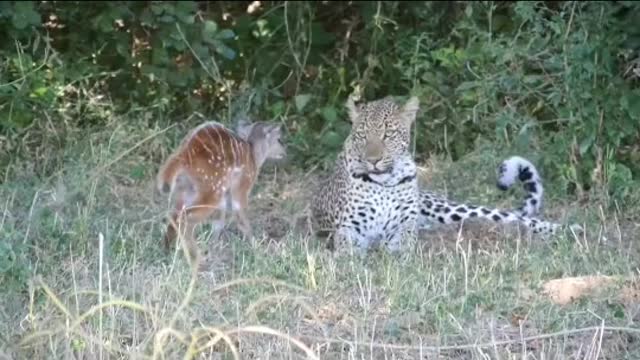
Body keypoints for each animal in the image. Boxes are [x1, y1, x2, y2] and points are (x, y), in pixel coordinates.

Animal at [308, 94, 572, 255]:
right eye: (362, 136)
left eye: (387, 135)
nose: (373, 161)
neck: (385, 182)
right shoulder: (348, 227)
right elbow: (347, 247)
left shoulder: (405, 223)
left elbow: (403, 241)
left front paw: (396, 254)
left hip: (448, 209)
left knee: (514, 218)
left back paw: (568, 229)